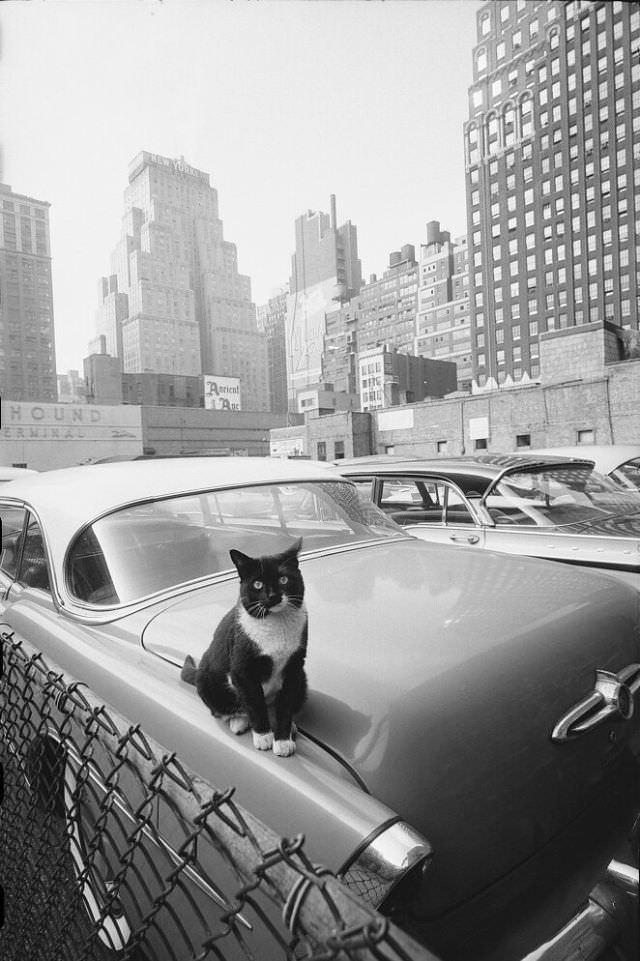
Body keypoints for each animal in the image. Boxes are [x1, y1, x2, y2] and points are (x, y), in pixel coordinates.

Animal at [181, 536, 308, 752]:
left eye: (283, 579)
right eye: (257, 584)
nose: (272, 596)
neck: (276, 625)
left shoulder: (294, 667)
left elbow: (285, 705)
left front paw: (282, 740)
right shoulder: (243, 669)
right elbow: (255, 703)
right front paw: (263, 737)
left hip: (303, 679)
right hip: (208, 681)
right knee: (226, 709)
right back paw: (239, 721)